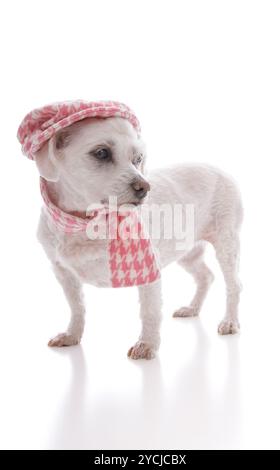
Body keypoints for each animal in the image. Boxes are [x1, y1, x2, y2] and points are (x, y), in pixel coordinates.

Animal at [34, 115, 242, 358]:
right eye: (101, 152)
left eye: (138, 158)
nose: (144, 187)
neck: (85, 224)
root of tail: (221, 170)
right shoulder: (64, 273)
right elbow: (77, 307)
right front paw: (72, 335)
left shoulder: (149, 271)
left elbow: (150, 311)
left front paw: (147, 345)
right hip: (187, 252)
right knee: (206, 276)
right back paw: (192, 308)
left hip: (226, 245)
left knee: (234, 284)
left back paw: (230, 321)